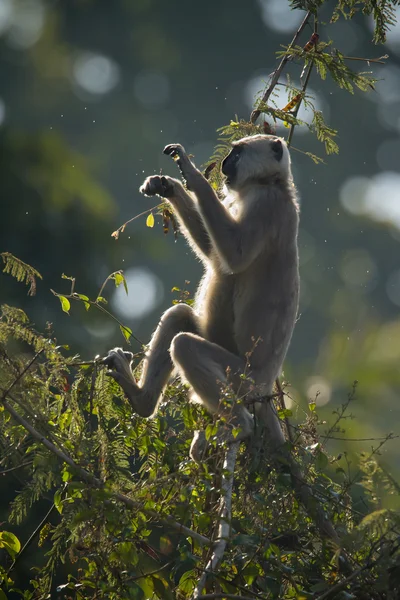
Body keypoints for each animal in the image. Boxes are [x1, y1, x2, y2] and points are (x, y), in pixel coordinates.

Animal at [103, 135, 300, 454]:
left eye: (237, 153)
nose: (225, 163)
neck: (271, 183)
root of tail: (266, 389)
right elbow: (212, 252)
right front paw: (168, 185)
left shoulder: (266, 204)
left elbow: (234, 256)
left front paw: (192, 175)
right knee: (179, 317)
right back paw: (142, 401)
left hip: (243, 379)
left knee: (185, 345)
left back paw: (239, 425)